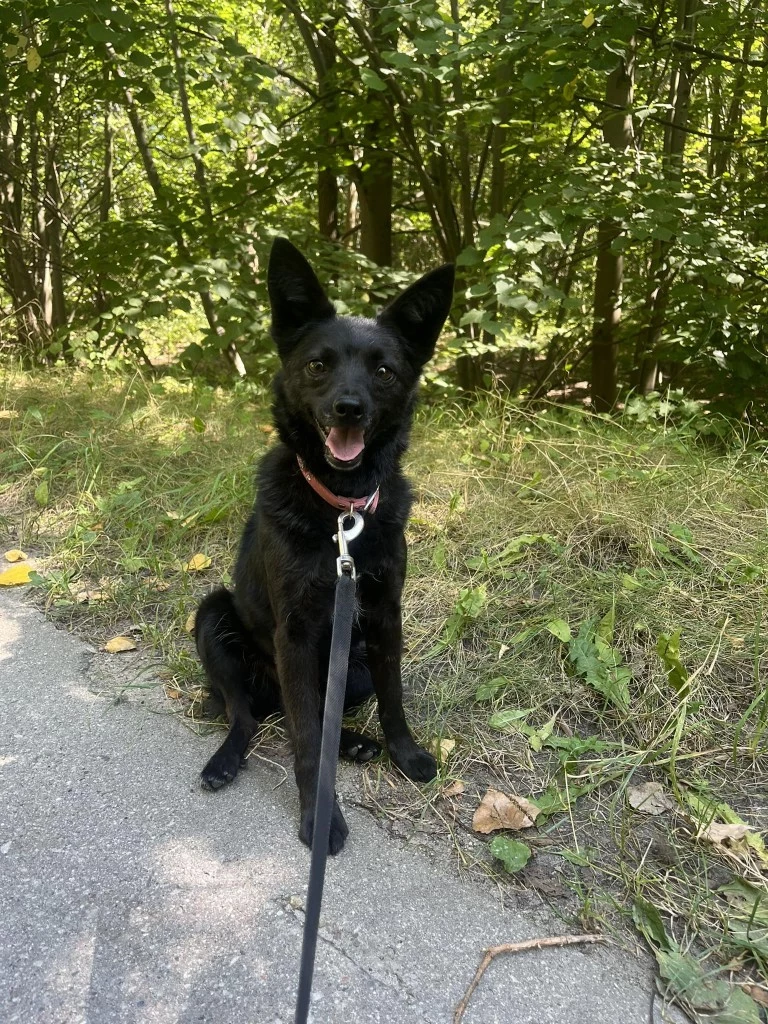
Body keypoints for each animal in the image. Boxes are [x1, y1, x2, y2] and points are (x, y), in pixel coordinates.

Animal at [195, 235, 456, 851]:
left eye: (383, 371)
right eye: (318, 365)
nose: (349, 409)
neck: (342, 509)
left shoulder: (385, 617)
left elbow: (392, 697)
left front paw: (404, 753)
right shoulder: (294, 631)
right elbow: (307, 741)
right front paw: (319, 816)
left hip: (349, 664)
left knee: (313, 713)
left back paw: (356, 744)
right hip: (213, 616)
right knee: (251, 716)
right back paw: (225, 759)